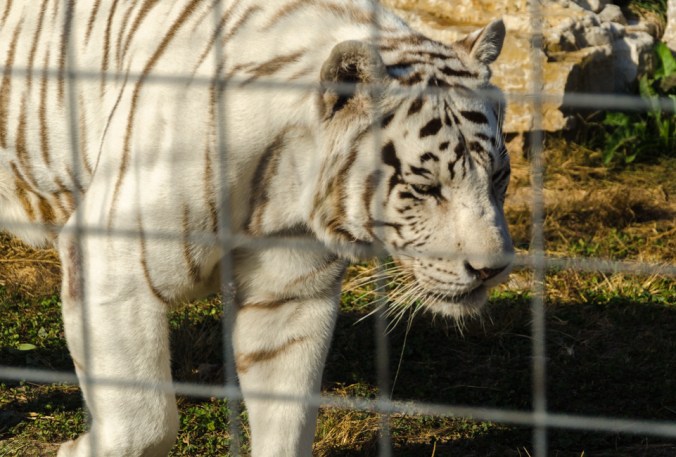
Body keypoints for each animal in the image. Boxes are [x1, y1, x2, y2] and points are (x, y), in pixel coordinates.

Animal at [0, 1, 513, 456]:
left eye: (499, 177)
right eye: (426, 187)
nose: (492, 269)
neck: (284, 185)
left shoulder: (290, 294)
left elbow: (287, 419)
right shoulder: (115, 261)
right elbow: (143, 420)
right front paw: (77, 449)